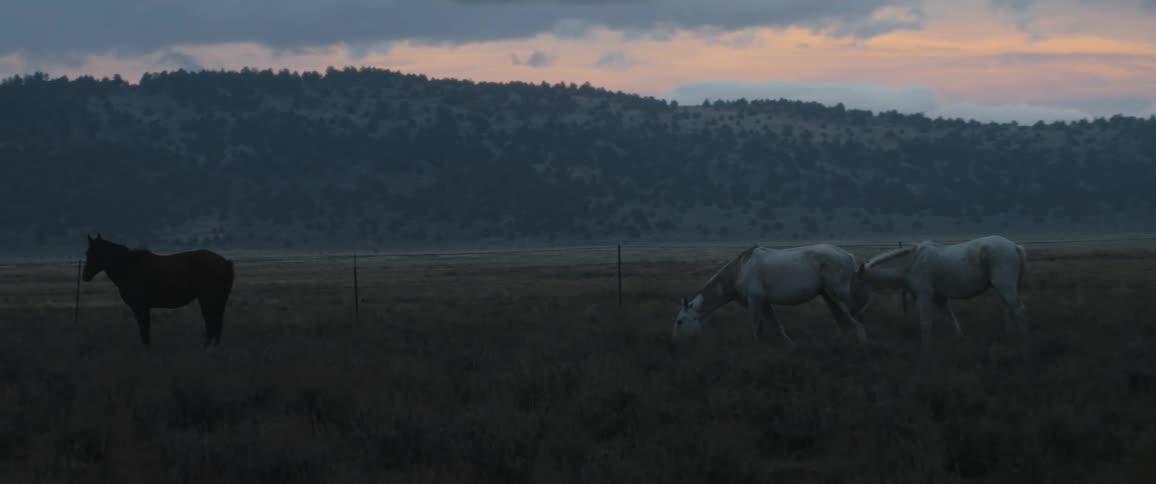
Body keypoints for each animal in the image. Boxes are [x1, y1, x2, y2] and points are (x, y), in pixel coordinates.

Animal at [82, 234, 236, 348]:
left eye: (89, 253)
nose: (85, 276)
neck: (129, 267)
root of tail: (225, 262)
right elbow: (145, 329)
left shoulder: (140, 306)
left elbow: (144, 330)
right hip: (218, 299)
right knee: (216, 324)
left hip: (208, 299)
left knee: (211, 324)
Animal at [672, 244, 871, 346]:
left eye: (680, 321)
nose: (676, 344)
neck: (740, 270)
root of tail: (847, 254)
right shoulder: (764, 302)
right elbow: (776, 326)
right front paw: (790, 345)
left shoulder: (755, 301)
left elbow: (756, 328)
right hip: (828, 297)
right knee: (843, 321)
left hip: (838, 295)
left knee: (856, 319)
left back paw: (862, 343)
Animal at [856, 235, 1028, 345]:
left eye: (856, 284)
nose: (856, 313)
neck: (911, 264)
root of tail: (1015, 247)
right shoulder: (939, 299)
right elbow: (951, 318)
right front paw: (962, 339)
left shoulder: (924, 298)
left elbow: (925, 324)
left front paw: (926, 350)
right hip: (1003, 289)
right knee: (1008, 310)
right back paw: (1009, 336)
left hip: (1005, 287)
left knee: (1018, 310)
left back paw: (1023, 339)